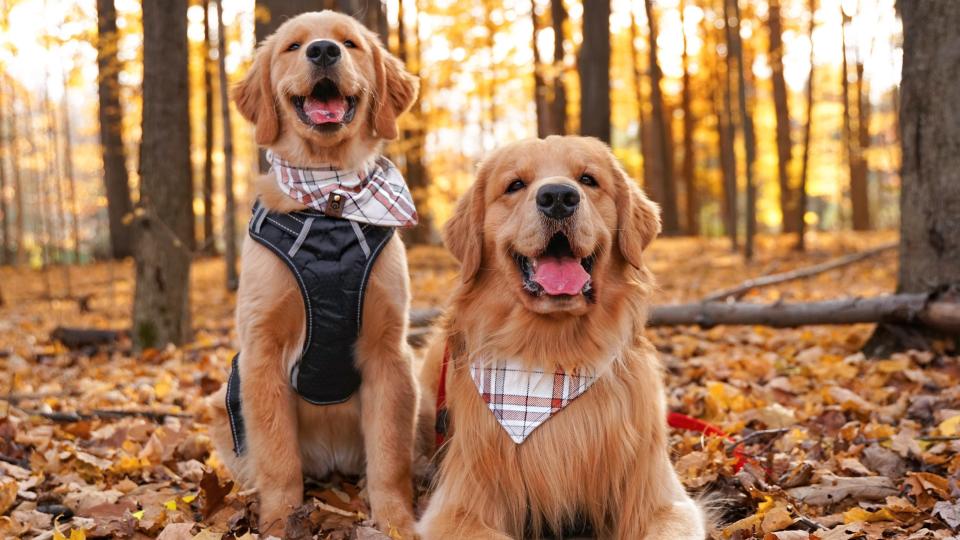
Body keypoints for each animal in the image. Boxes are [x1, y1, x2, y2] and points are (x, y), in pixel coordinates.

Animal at [204, 10, 418, 536]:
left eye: (350, 43)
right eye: (293, 47)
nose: (323, 51)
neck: (331, 201)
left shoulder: (390, 352)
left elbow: (390, 455)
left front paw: (397, 521)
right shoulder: (262, 351)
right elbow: (278, 457)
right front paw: (280, 521)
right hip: (222, 400)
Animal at [414, 137, 704, 536]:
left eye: (588, 179)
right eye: (515, 185)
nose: (558, 197)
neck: (553, 356)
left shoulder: (663, 498)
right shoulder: (456, 509)